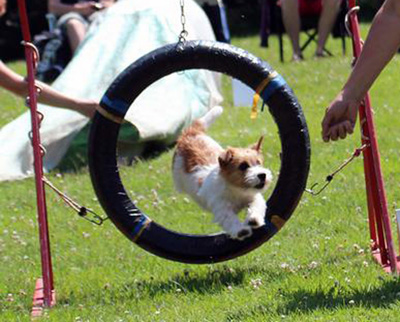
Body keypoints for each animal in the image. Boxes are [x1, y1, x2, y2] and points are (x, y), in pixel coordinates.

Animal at [172, 107, 272, 240]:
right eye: (243, 166)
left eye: (258, 163)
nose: (262, 175)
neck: (237, 190)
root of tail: (191, 134)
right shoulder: (222, 208)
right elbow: (230, 218)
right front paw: (240, 230)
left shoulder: (253, 196)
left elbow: (257, 205)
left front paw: (253, 219)